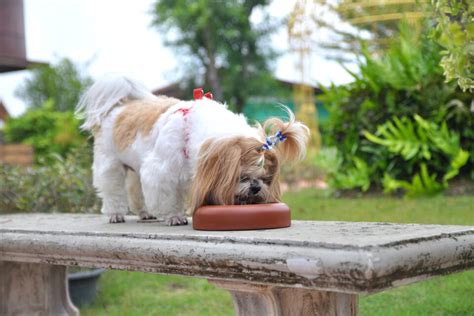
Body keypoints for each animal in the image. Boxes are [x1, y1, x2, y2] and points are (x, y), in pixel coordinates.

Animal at [76, 76, 310, 225]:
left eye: (266, 179)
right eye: (241, 176)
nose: (255, 187)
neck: (191, 127)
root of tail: (118, 107)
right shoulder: (161, 171)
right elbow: (168, 196)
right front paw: (174, 216)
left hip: (135, 168)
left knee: (135, 190)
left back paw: (144, 213)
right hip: (110, 164)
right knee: (113, 189)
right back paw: (115, 213)